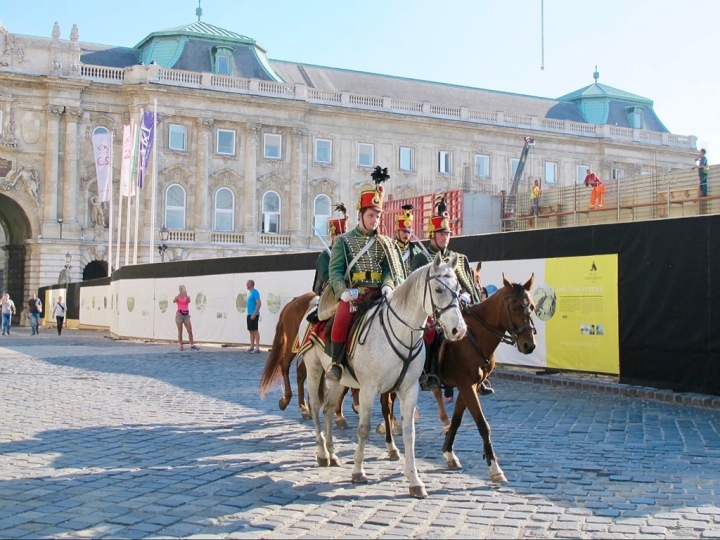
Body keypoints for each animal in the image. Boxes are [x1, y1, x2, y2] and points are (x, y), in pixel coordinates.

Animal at [300, 252, 464, 498]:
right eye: (438, 289)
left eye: (457, 288)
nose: (459, 330)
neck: (403, 332)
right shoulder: (368, 389)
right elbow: (364, 428)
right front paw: (358, 470)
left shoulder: (409, 390)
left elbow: (409, 433)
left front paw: (414, 480)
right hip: (314, 369)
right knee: (316, 407)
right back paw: (322, 453)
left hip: (339, 379)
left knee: (329, 408)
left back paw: (332, 452)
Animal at [380, 272, 536, 484]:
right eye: (514, 307)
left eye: (532, 306)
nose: (529, 345)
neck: (474, 336)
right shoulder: (466, 385)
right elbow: (482, 424)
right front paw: (495, 468)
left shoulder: (469, 386)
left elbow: (456, 420)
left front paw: (449, 453)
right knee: (386, 407)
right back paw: (391, 446)